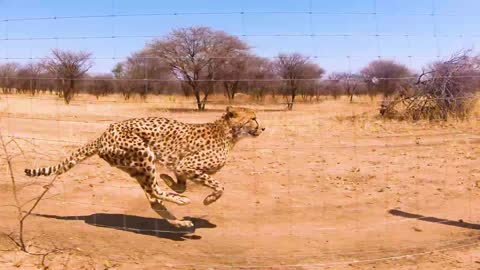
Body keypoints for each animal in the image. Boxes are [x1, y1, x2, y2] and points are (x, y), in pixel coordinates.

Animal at [24, 107, 264, 228]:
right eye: (253, 118)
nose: (262, 128)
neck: (229, 132)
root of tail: (103, 134)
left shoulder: (181, 167)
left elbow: (180, 183)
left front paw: (170, 181)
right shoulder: (186, 165)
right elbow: (218, 186)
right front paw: (208, 199)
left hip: (136, 168)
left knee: (153, 199)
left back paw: (180, 223)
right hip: (143, 155)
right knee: (155, 192)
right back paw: (181, 205)